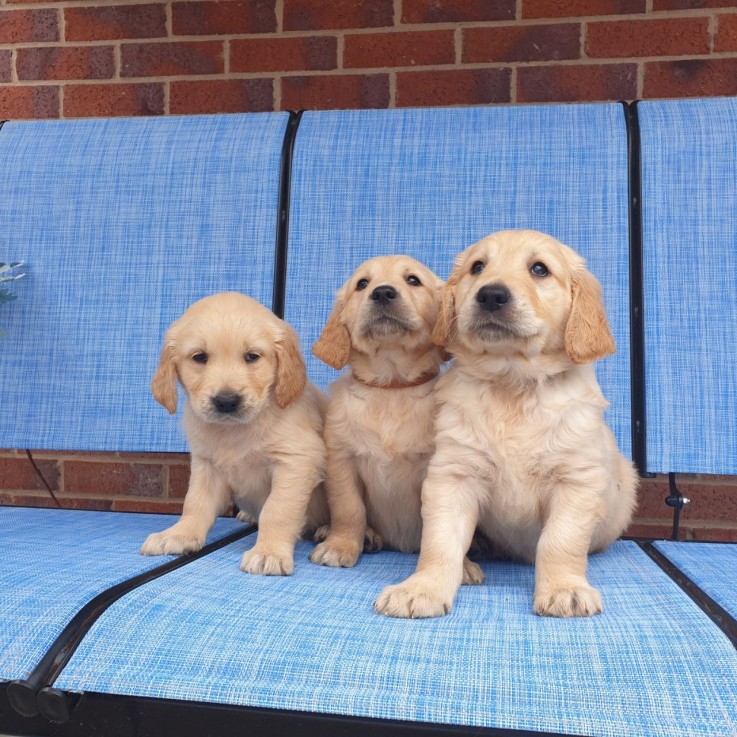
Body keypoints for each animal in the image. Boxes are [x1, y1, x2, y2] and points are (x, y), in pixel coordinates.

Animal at [141, 294, 328, 576]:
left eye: (252, 356)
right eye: (200, 357)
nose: (226, 401)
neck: (234, 431)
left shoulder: (296, 461)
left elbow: (277, 509)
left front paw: (269, 552)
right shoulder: (206, 465)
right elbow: (195, 503)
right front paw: (179, 535)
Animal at [310, 254, 486, 588]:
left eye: (413, 280)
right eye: (362, 284)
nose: (382, 293)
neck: (391, 388)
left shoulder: (438, 467)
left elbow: (443, 528)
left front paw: (464, 565)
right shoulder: (342, 459)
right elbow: (349, 509)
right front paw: (340, 545)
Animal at [376, 229, 636, 616]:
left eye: (540, 269)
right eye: (477, 267)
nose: (491, 295)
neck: (512, 384)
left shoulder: (575, 481)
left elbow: (560, 541)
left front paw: (565, 589)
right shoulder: (453, 476)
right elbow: (439, 542)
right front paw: (421, 589)